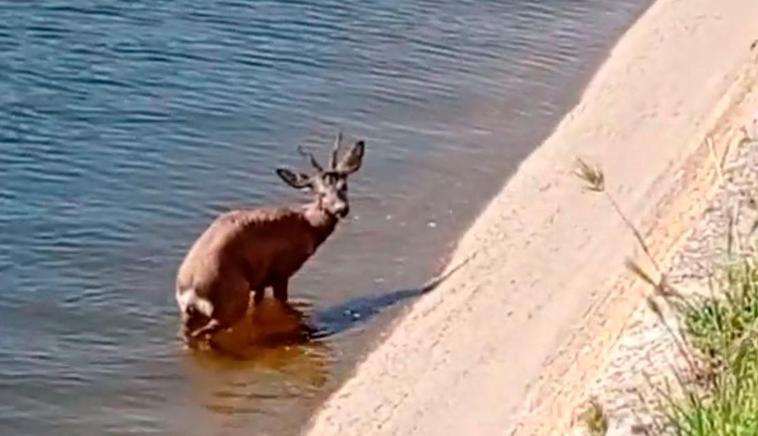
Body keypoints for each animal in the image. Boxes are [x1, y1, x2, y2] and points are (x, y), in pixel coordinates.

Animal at [178, 131, 368, 346]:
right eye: (321, 193)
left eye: (344, 186)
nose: (341, 209)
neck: (307, 225)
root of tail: (190, 289)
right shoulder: (281, 271)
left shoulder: (260, 280)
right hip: (232, 299)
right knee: (205, 332)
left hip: (196, 311)